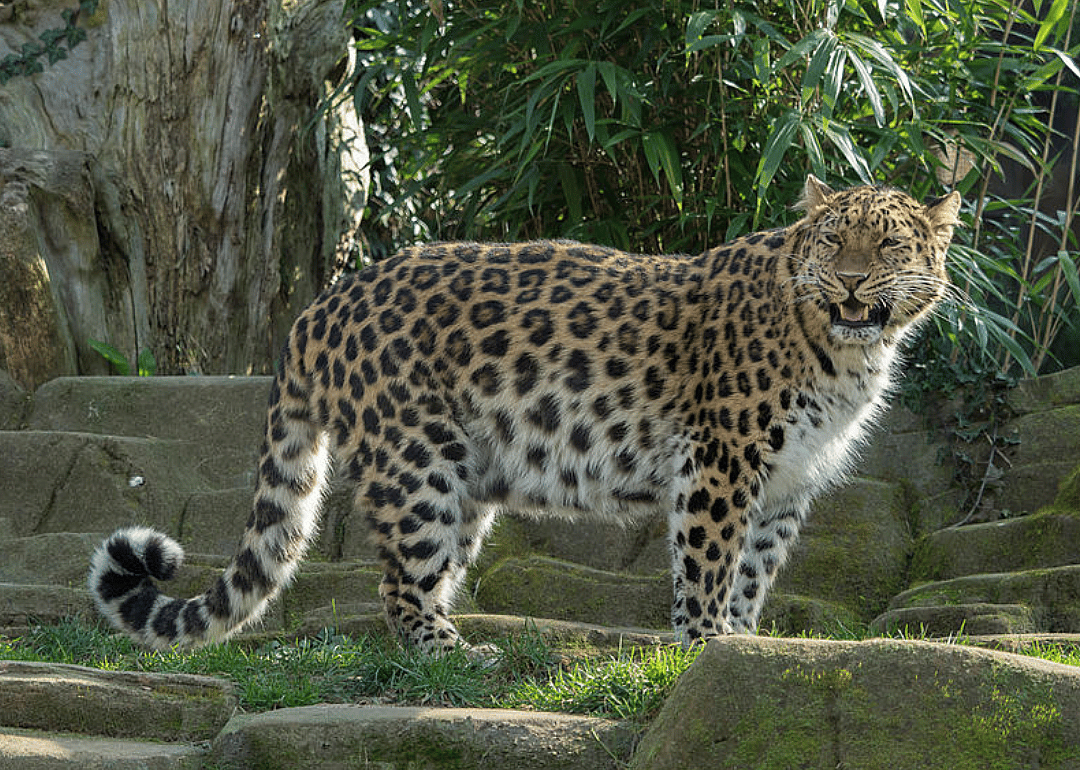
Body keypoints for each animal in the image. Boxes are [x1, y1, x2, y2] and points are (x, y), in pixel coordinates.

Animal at [89, 175, 961, 654]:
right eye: (833, 241)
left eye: (887, 248)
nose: (851, 283)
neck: (846, 353)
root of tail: (321, 305)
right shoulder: (721, 460)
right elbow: (710, 563)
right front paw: (706, 644)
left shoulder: (786, 481)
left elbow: (755, 568)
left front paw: (741, 647)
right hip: (417, 461)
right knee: (398, 586)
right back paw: (456, 658)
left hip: (468, 476)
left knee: (427, 574)